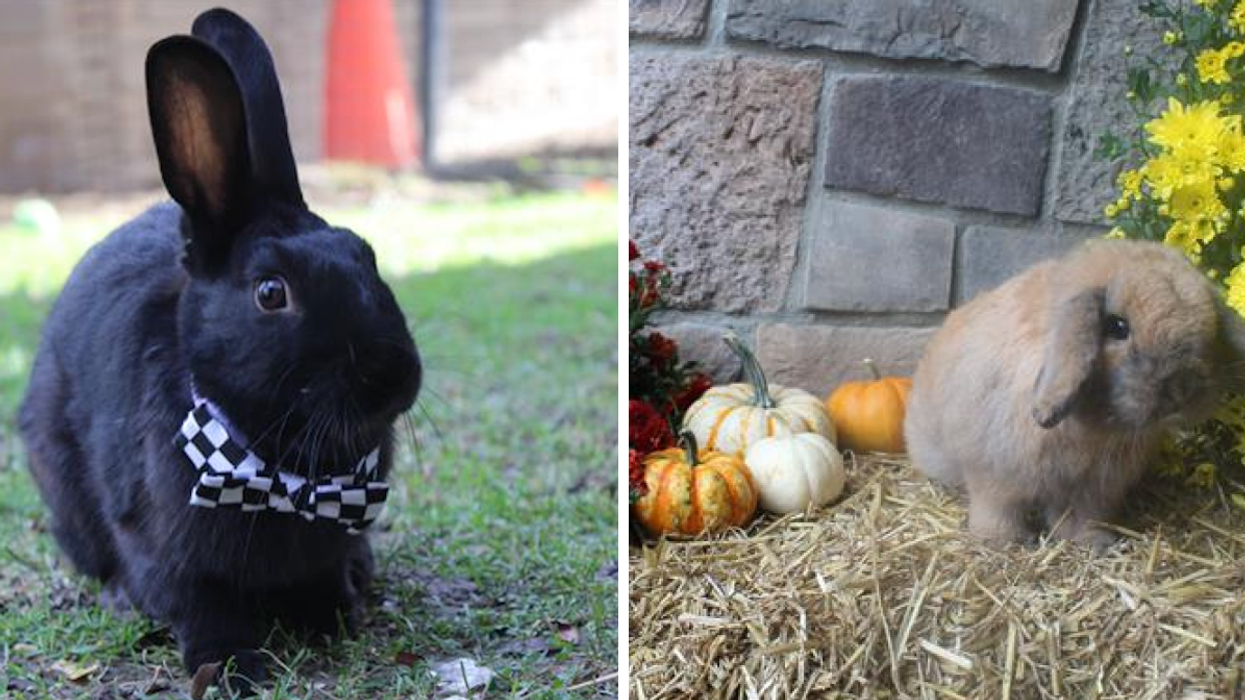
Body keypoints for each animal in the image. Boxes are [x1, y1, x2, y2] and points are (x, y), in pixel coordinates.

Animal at [17, 8, 420, 692]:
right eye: (270, 292)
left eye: (366, 256)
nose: (395, 376)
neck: (283, 468)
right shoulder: (161, 546)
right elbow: (198, 604)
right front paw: (234, 667)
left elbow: (322, 579)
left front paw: (333, 619)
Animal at [905, 239, 1245, 551]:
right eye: (1117, 326)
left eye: (1210, 328)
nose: (1182, 388)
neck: (1091, 430)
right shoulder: (993, 473)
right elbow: (998, 510)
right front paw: (1005, 542)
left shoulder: (1093, 489)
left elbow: (1082, 517)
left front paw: (1093, 543)